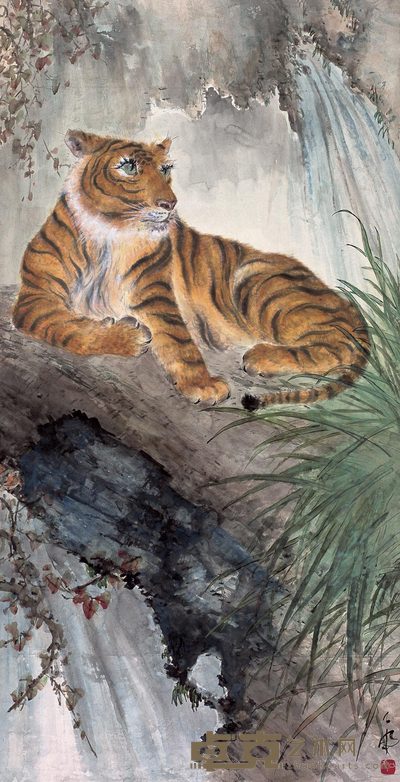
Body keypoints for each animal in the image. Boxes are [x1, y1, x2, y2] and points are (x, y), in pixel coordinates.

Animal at [13, 129, 369, 410]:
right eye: (128, 166)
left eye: (165, 169)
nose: (170, 204)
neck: (111, 233)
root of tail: (347, 305)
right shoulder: (34, 297)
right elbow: (65, 328)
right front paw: (128, 335)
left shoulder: (154, 293)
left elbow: (178, 340)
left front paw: (203, 386)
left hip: (256, 281)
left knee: (339, 344)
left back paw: (261, 357)